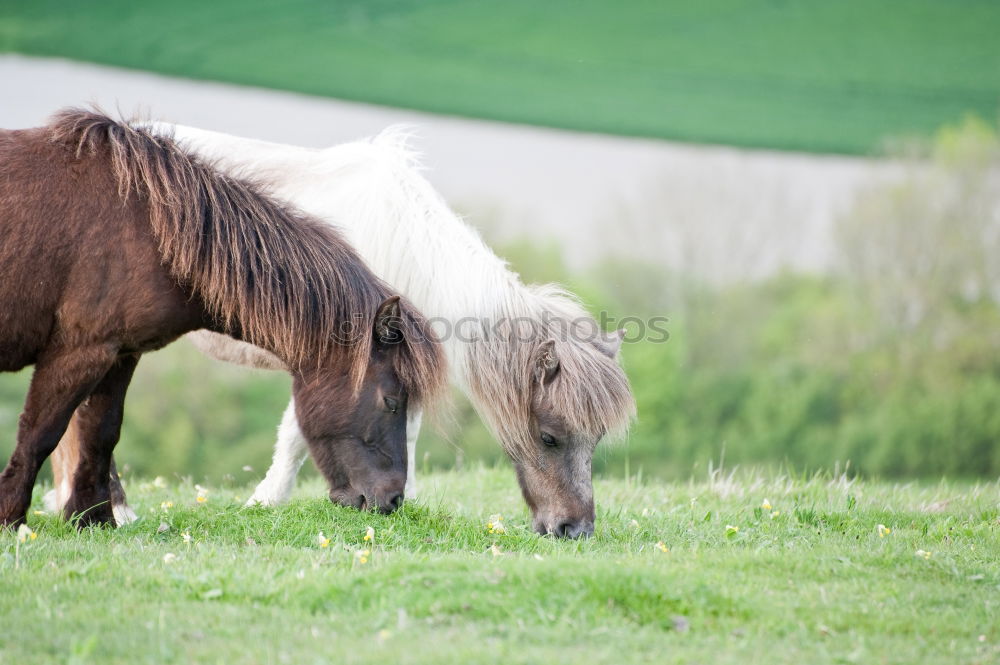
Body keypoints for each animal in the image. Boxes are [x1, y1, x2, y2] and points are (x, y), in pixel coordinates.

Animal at [0, 111, 446, 528]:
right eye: (391, 401)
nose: (392, 500)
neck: (150, 226)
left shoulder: (118, 354)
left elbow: (100, 433)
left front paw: (94, 520)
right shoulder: (78, 353)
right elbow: (40, 434)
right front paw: (13, 522)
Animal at [48, 126, 632, 540]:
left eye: (596, 438)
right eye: (550, 436)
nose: (574, 530)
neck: (404, 245)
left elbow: (405, 428)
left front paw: (405, 496)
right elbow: (296, 433)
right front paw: (267, 500)